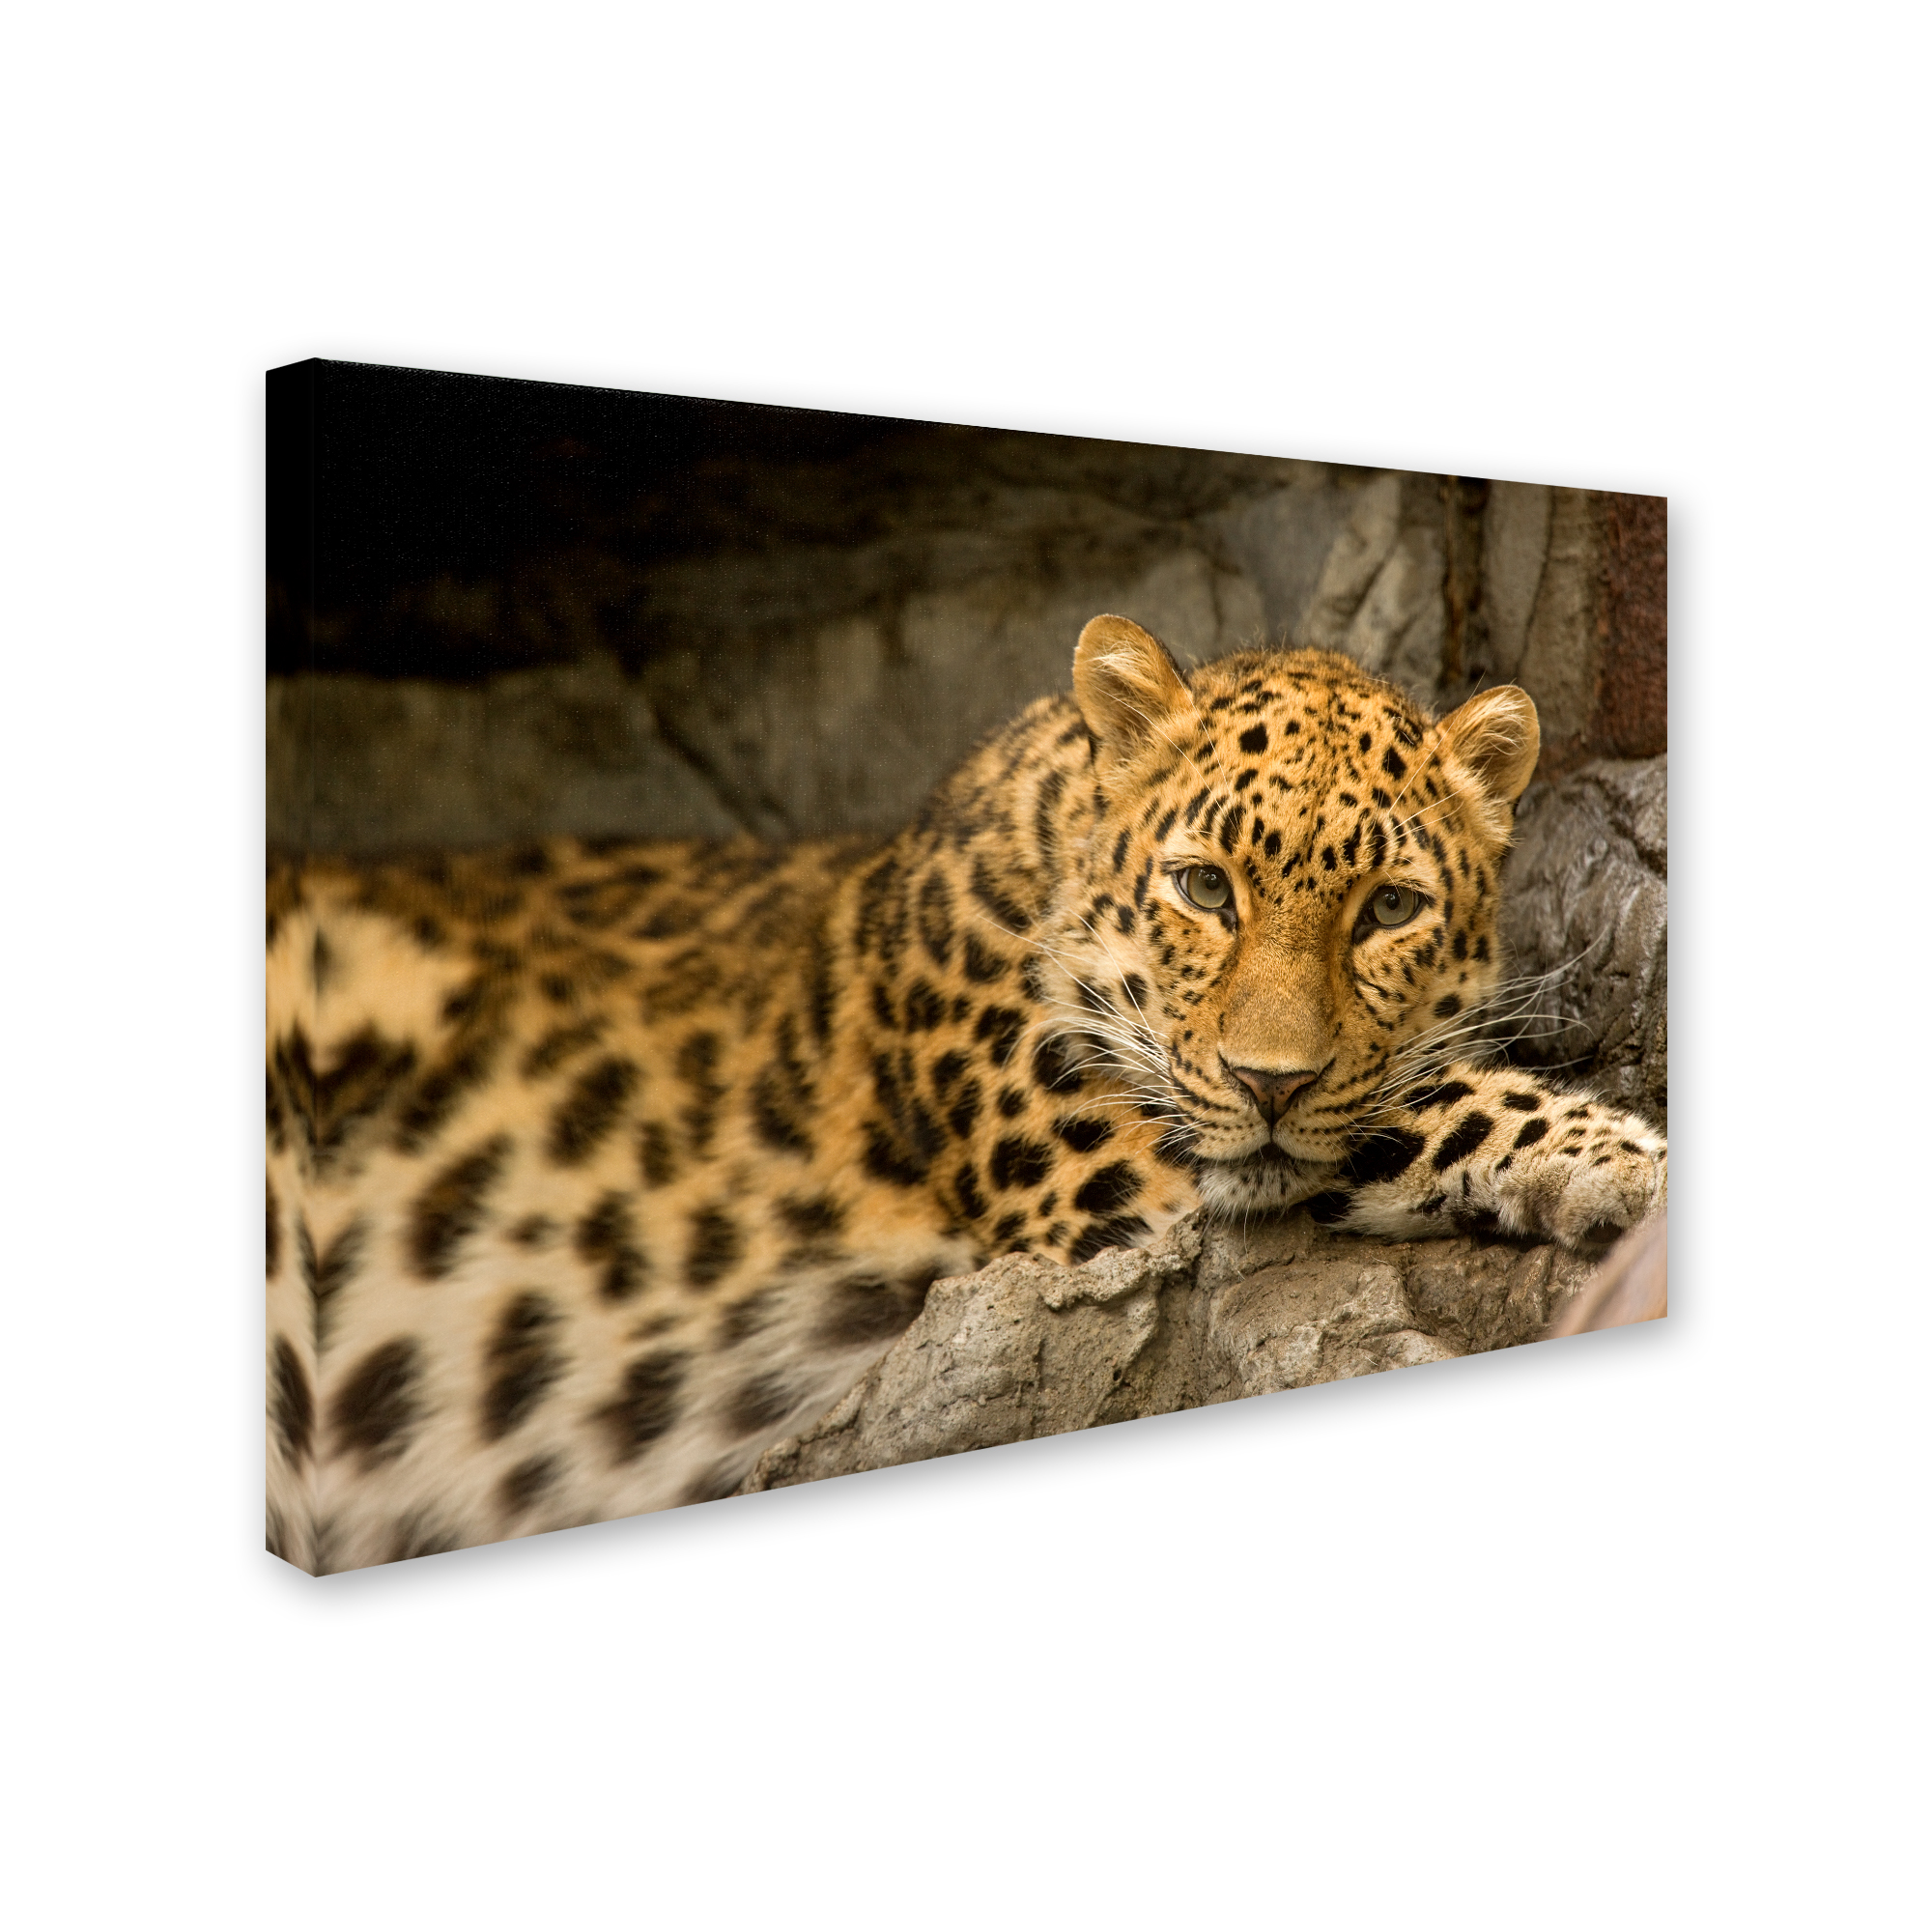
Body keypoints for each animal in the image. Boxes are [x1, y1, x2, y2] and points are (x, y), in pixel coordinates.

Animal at [267, 614, 1666, 1574]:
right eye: (1204, 888)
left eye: (1387, 909)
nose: (1272, 1079)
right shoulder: (1114, 1168)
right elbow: (1406, 1109)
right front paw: (1619, 1154)